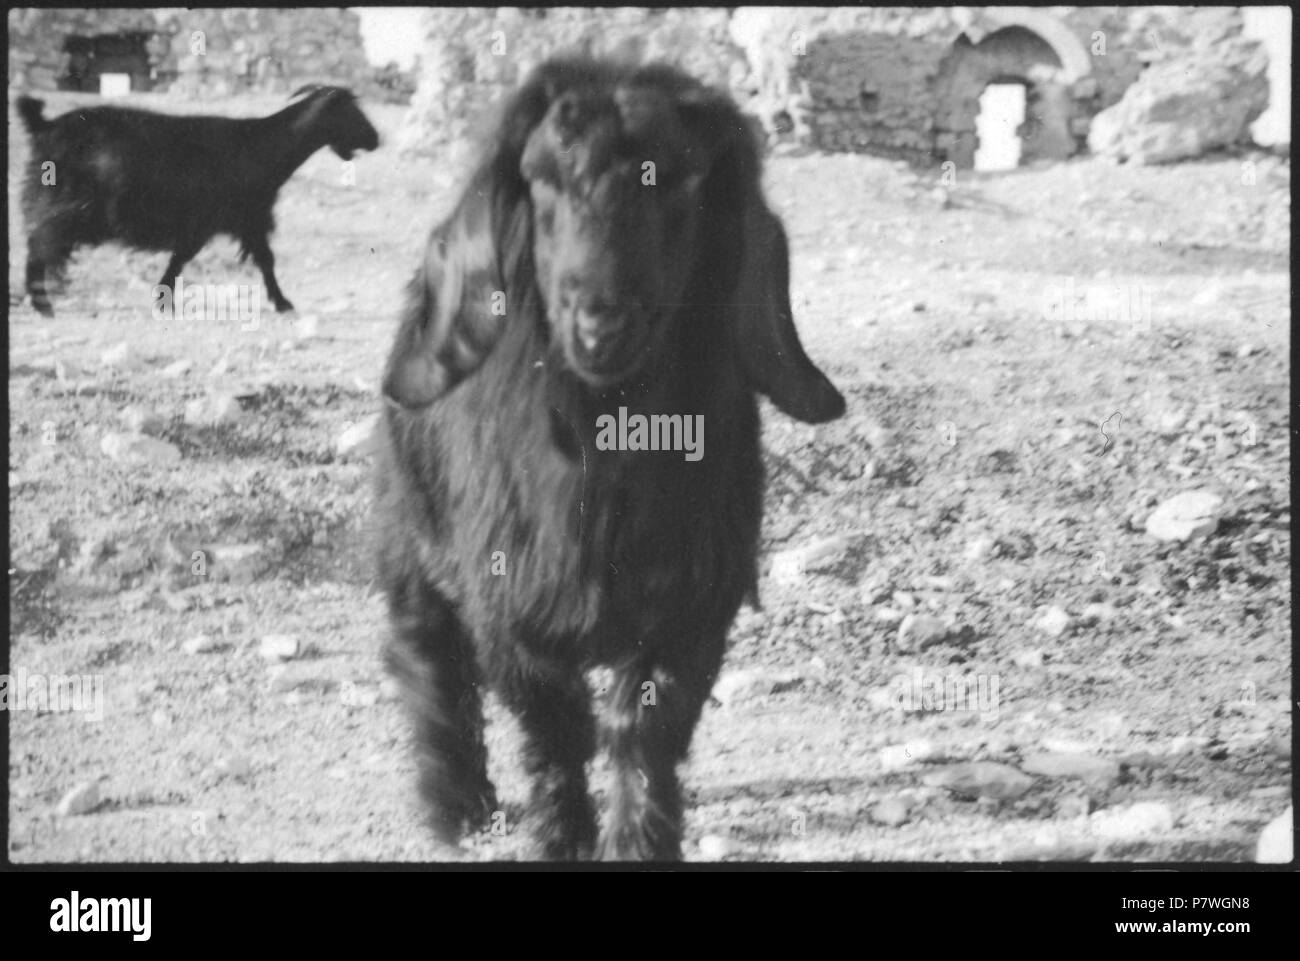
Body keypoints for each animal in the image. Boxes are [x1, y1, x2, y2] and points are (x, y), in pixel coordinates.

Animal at [16, 85, 379, 317]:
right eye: (350, 110)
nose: (375, 139)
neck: (260, 145)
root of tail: (44, 126)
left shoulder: (243, 221)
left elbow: (248, 259)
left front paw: (163, 300)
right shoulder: (225, 219)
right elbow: (201, 259)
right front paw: (283, 303)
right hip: (67, 207)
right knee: (39, 243)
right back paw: (42, 303)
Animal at [375, 57, 845, 861]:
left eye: (683, 182)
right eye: (540, 179)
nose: (599, 320)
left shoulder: (693, 603)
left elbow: (644, 728)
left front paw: (640, 843)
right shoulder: (512, 602)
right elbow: (556, 728)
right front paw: (561, 839)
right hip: (410, 529)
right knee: (429, 656)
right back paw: (455, 806)